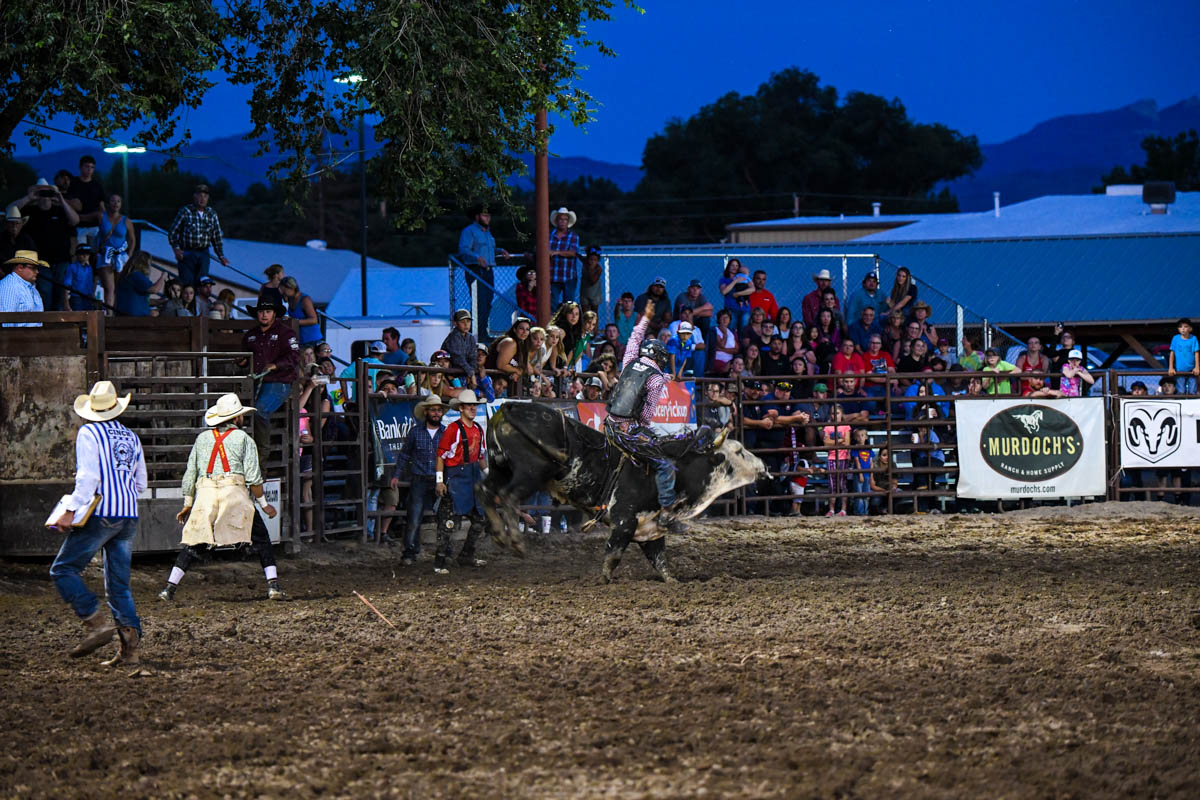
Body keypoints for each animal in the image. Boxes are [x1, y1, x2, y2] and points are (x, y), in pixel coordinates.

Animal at [480, 407, 768, 582]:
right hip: (531, 470)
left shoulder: (650, 530)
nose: (764, 467)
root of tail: (508, 408)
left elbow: (660, 562)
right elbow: (613, 556)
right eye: (739, 451)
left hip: (500, 467)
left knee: (483, 490)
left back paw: (498, 533)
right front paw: (604, 581)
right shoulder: (623, 521)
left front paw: (673, 581)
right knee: (507, 497)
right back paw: (515, 542)